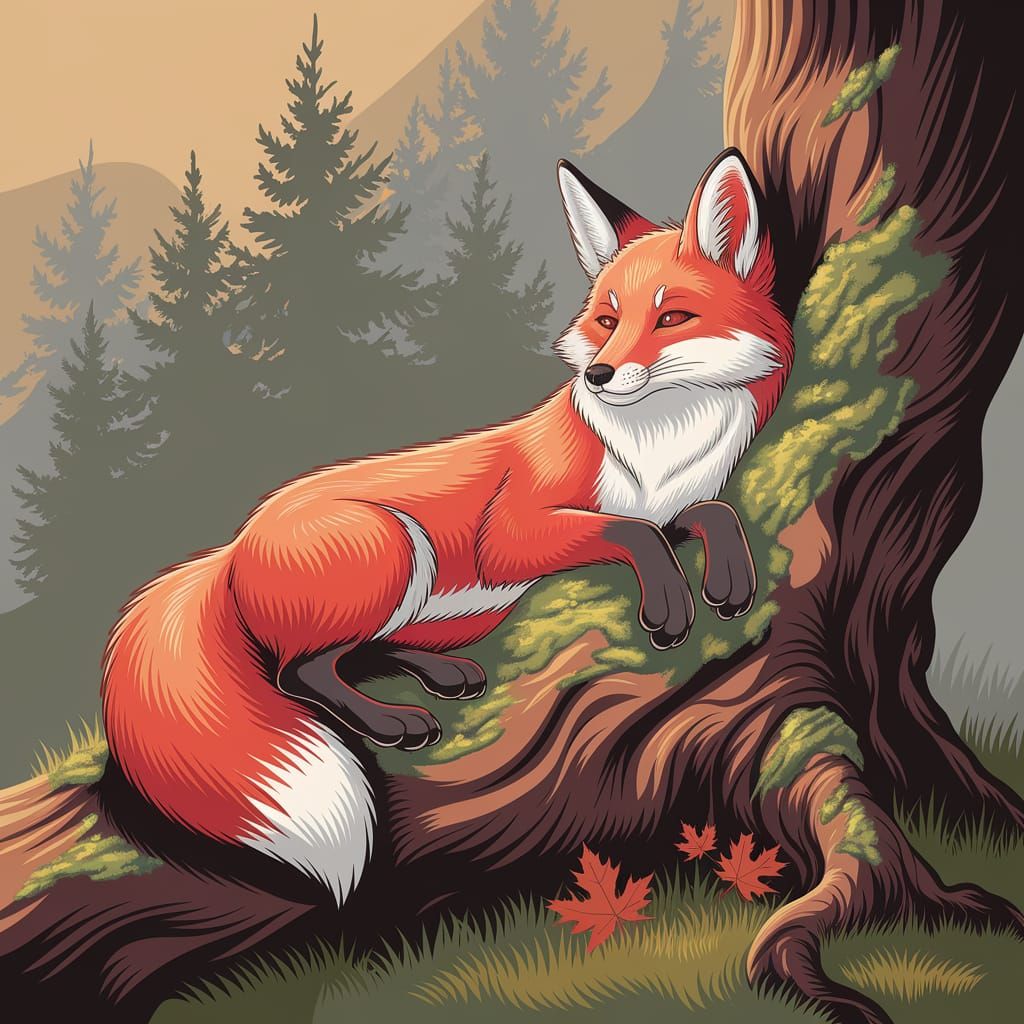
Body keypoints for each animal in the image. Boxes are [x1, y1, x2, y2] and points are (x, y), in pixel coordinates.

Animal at [101, 149, 794, 905]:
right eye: (608, 320)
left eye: (673, 316)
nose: (601, 374)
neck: (662, 448)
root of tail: (233, 543)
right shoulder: (514, 534)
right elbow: (630, 535)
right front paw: (669, 608)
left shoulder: (669, 503)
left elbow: (707, 514)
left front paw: (731, 580)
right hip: (395, 547)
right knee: (301, 670)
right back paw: (391, 720)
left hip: (460, 604)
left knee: (369, 649)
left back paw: (441, 673)